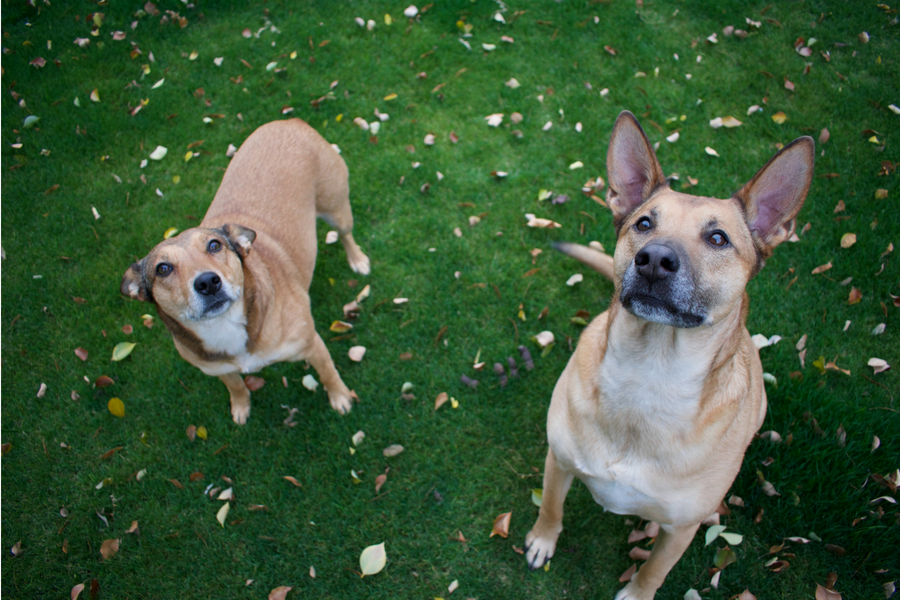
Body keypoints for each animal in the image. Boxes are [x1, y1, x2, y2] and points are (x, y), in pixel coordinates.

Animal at [121, 119, 370, 424]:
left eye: (214, 245)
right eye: (163, 268)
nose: (208, 282)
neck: (226, 325)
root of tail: (290, 121)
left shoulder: (313, 344)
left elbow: (328, 373)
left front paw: (340, 397)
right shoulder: (219, 370)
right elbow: (236, 386)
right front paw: (241, 407)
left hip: (336, 208)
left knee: (345, 234)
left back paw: (357, 259)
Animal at [520, 110, 816, 596]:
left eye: (718, 238)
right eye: (643, 224)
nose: (654, 260)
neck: (648, 375)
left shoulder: (681, 529)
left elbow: (655, 568)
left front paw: (638, 592)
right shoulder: (557, 462)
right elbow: (550, 507)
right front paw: (543, 540)